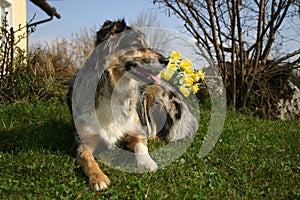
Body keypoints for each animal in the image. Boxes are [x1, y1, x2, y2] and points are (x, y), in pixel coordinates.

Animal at [67, 19, 199, 191]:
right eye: (137, 44)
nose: (166, 60)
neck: (112, 90)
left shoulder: (135, 129)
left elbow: (141, 146)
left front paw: (148, 163)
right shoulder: (82, 140)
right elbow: (87, 158)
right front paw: (98, 178)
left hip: (155, 94)